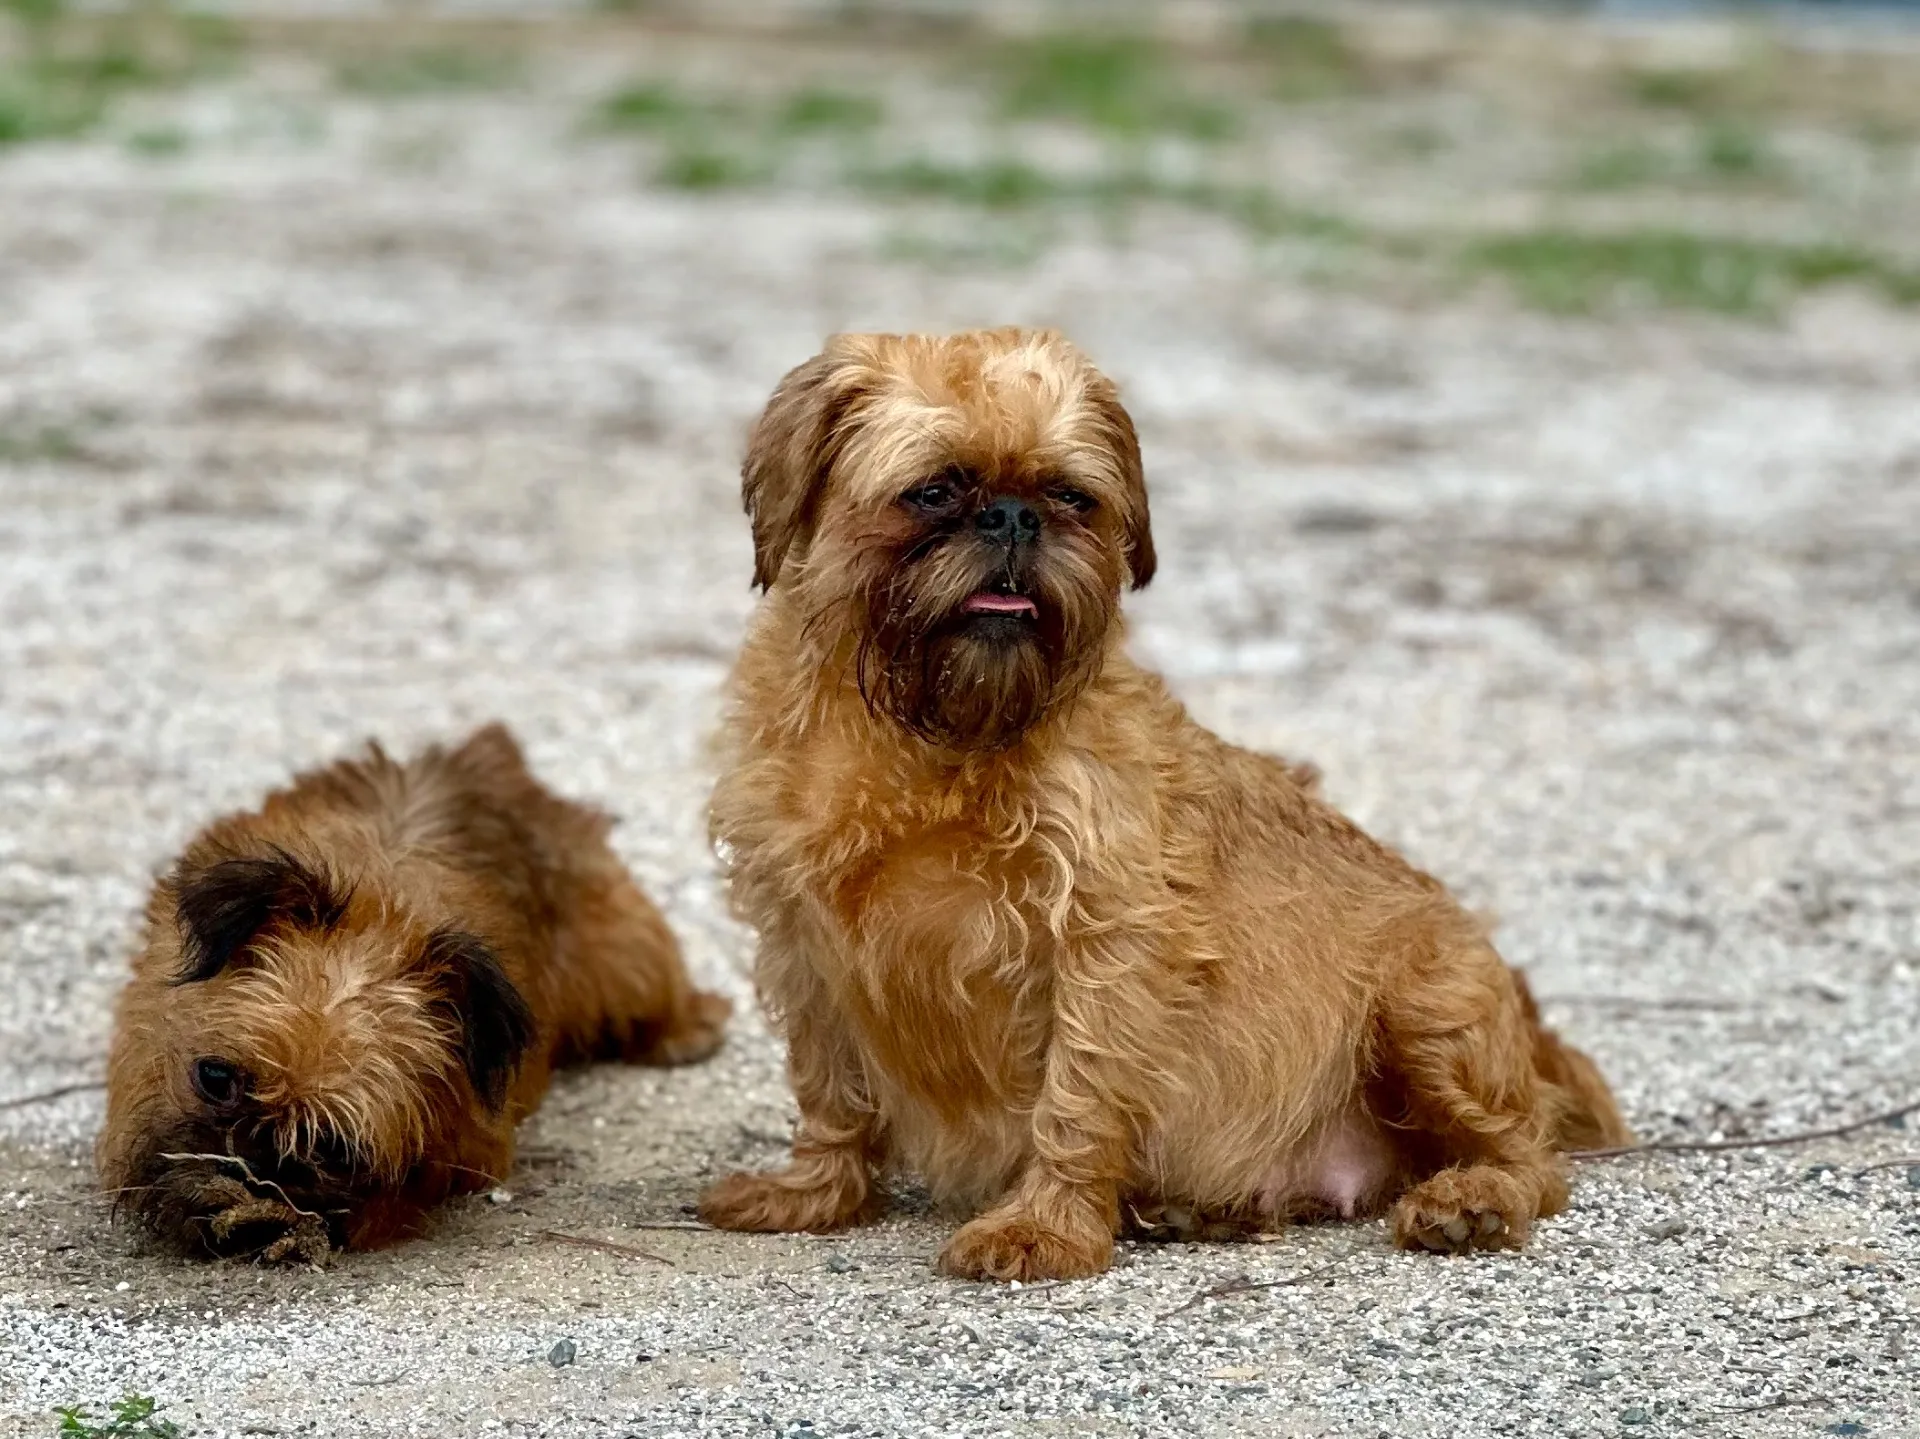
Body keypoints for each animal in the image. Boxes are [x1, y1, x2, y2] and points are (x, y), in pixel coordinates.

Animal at [698, 328, 1628, 1283]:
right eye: (935, 490)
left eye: (1071, 496)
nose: (1014, 517)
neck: (925, 732)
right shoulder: (802, 945)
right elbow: (829, 1091)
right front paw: (814, 1194)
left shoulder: (1104, 937)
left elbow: (1075, 1094)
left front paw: (1044, 1223)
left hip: (1427, 1007)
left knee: (1533, 1156)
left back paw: (1472, 1199)